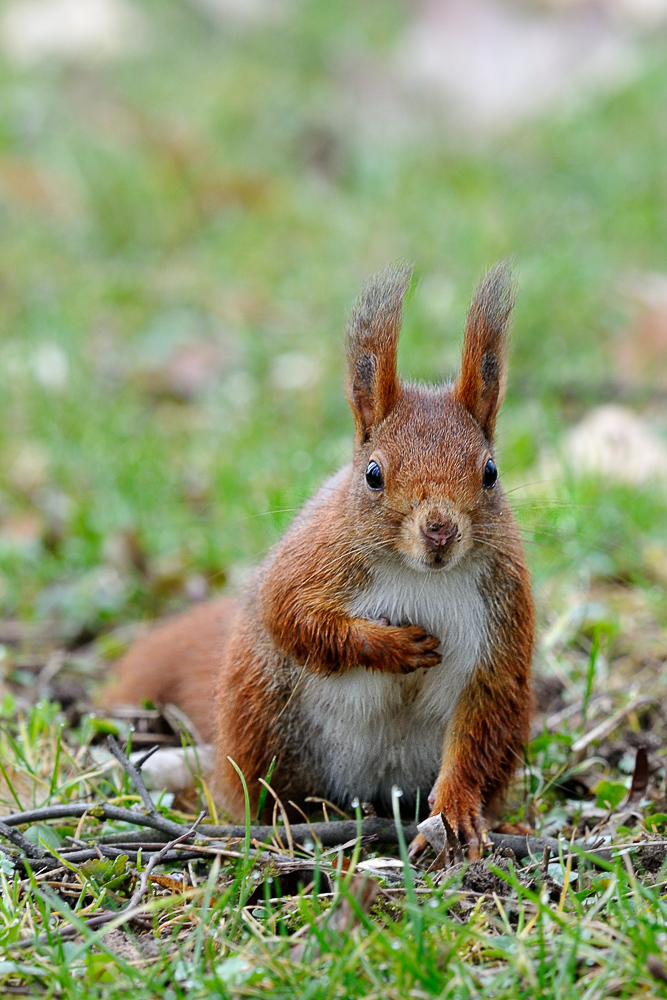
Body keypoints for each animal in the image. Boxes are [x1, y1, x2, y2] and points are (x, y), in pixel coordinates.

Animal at [111, 262, 536, 856]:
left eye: (490, 472)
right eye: (374, 473)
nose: (440, 532)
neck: (419, 575)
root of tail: (376, 790)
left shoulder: (500, 620)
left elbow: (479, 720)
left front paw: (456, 809)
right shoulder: (314, 560)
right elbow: (293, 617)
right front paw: (391, 646)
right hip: (263, 720)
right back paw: (291, 820)